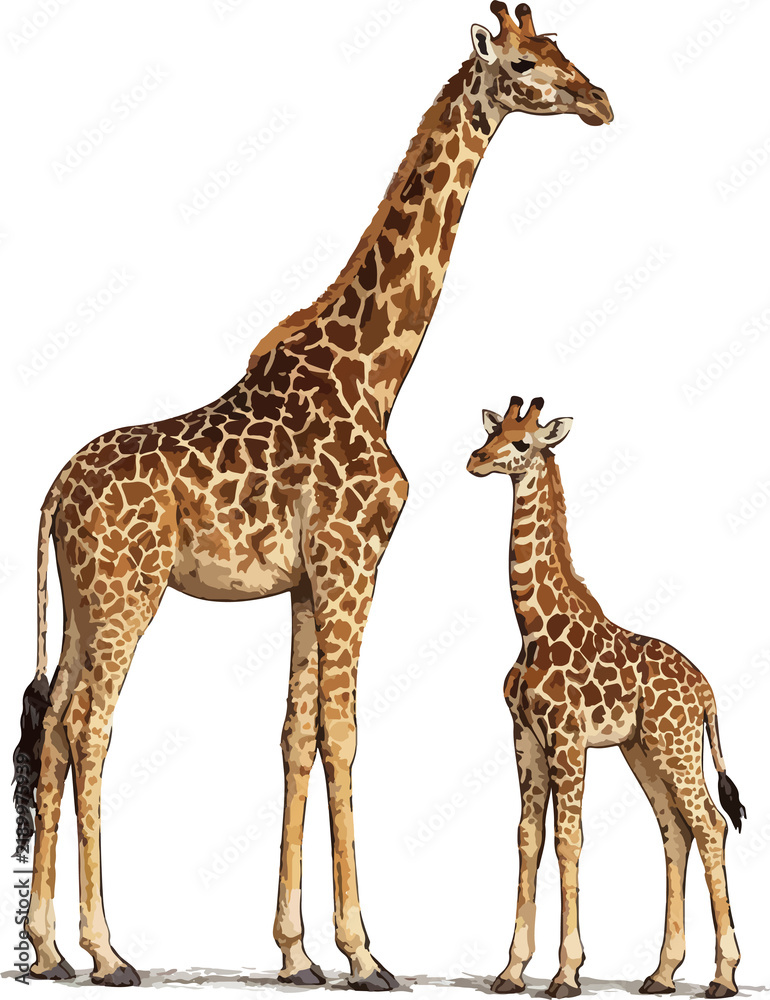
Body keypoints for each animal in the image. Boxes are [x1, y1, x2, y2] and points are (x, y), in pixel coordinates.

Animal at [12, 6, 613, 990]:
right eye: (527, 65)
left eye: (564, 50)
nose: (599, 99)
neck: (375, 375)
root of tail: (54, 492)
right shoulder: (350, 561)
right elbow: (344, 731)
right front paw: (365, 954)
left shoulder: (303, 581)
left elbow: (296, 735)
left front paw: (297, 954)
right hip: (127, 591)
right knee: (91, 727)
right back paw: (107, 952)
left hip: (78, 594)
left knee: (54, 724)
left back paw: (52, 949)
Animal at [466, 397, 746, 1000]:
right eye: (495, 431)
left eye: (521, 442)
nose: (476, 460)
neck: (533, 626)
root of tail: (708, 691)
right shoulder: (525, 737)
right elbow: (527, 838)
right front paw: (510, 971)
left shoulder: (568, 739)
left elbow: (568, 840)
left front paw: (566, 974)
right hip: (641, 748)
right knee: (675, 831)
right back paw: (661, 974)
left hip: (674, 744)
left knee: (710, 825)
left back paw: (724, 976)